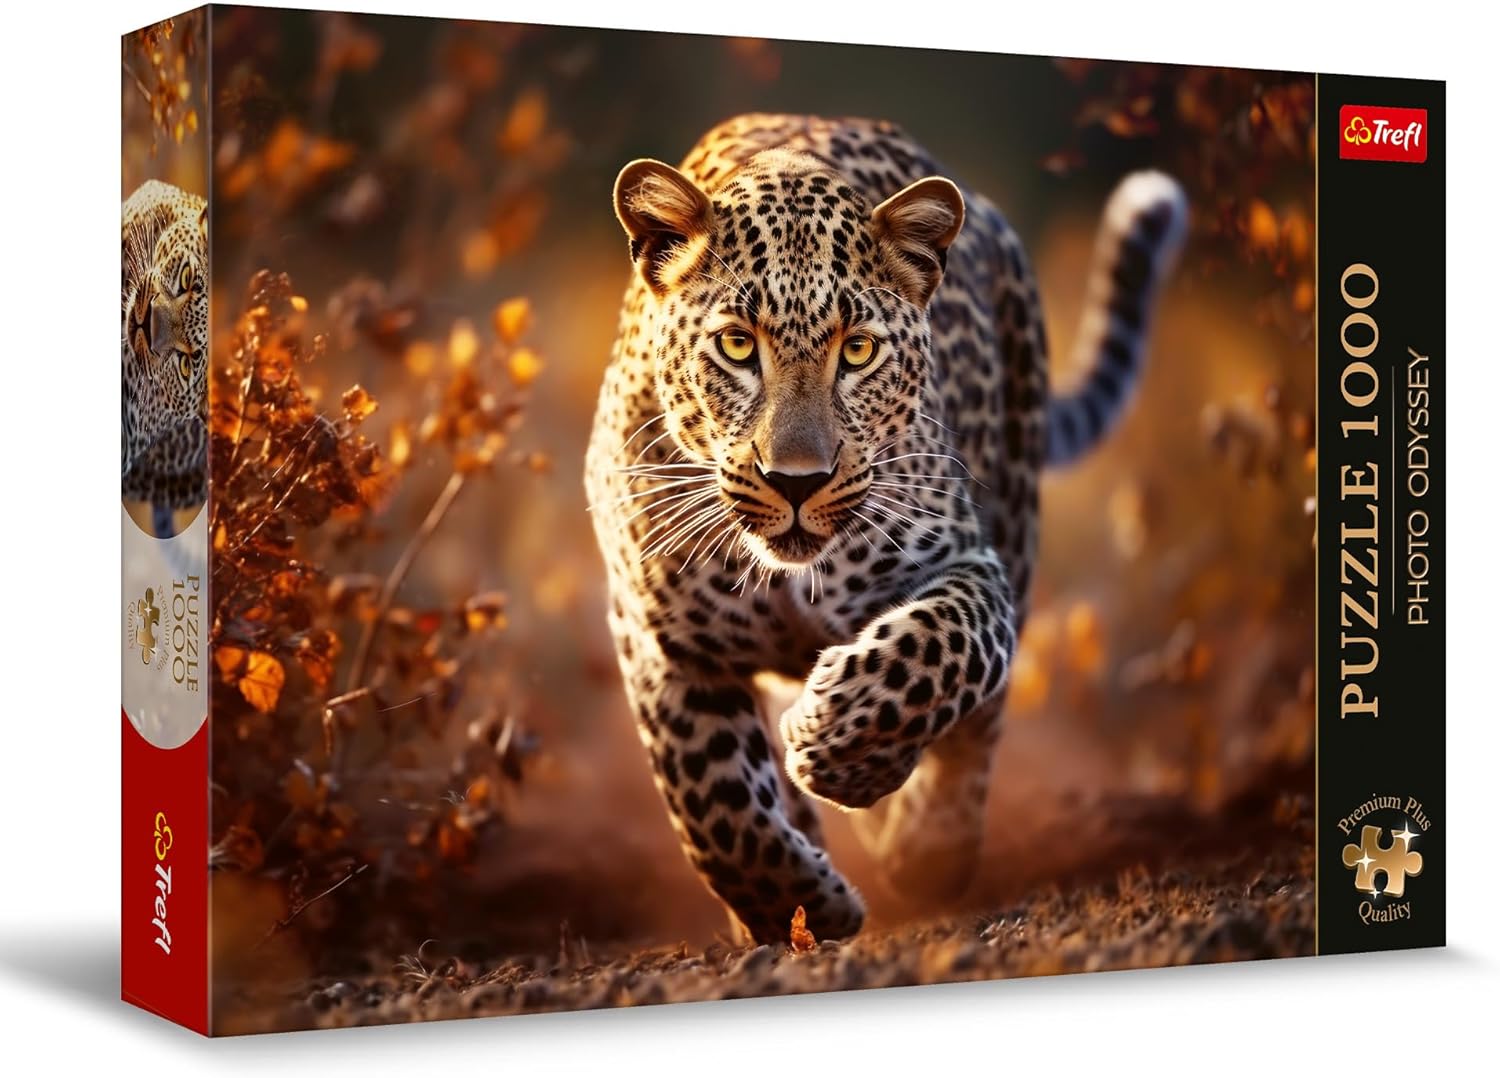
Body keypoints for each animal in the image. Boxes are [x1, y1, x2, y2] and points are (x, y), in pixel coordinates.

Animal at [585, 114, 1186, 944]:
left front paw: (837, 745)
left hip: (1018, 512)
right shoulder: (660, 638)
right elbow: (713, 800)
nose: (796, 480)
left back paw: (928, 847)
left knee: (978, 729)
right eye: (737, 345)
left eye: (858, 351)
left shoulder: (969, 564)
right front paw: (798, 906)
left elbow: (937, 651)